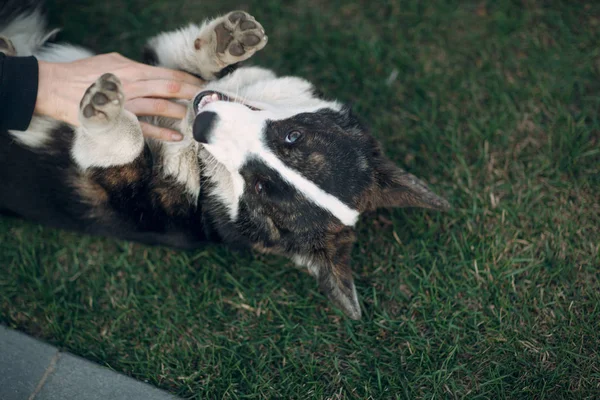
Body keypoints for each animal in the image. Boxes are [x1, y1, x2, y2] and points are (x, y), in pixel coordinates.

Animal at [0, 3, 450, 318]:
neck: (194, 153)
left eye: (259, 187)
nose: (205, 124)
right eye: (293, 136)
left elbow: (125, 149)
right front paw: (226, 41)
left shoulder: (123, 199)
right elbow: (185, 63)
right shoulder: (157, 66)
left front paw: (105, 109)